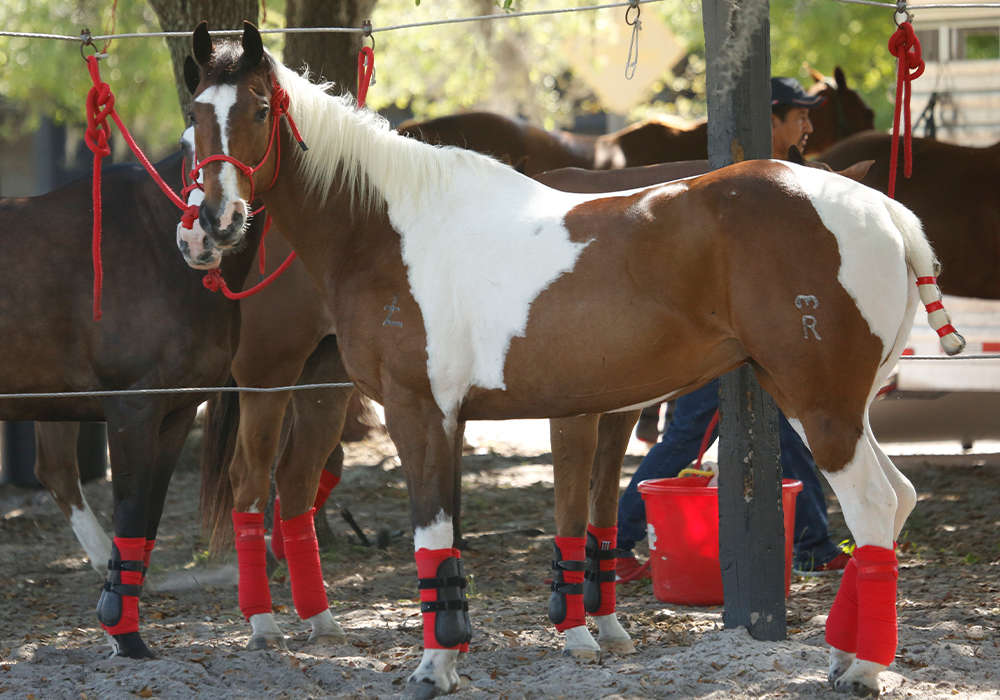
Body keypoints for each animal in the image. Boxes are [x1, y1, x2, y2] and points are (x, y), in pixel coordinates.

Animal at [184, 24, 964, 696]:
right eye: (194, 119)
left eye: (258, 108)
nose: (213, 224)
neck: (390, 229)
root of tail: (880, 208)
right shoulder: (475, 417)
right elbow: (467, 539)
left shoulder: (420, 411)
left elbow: (433, 536)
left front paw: (436, 667)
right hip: (823, 404)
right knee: (898, 499)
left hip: (819, 403)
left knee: (875, 504)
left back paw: (864, 669)